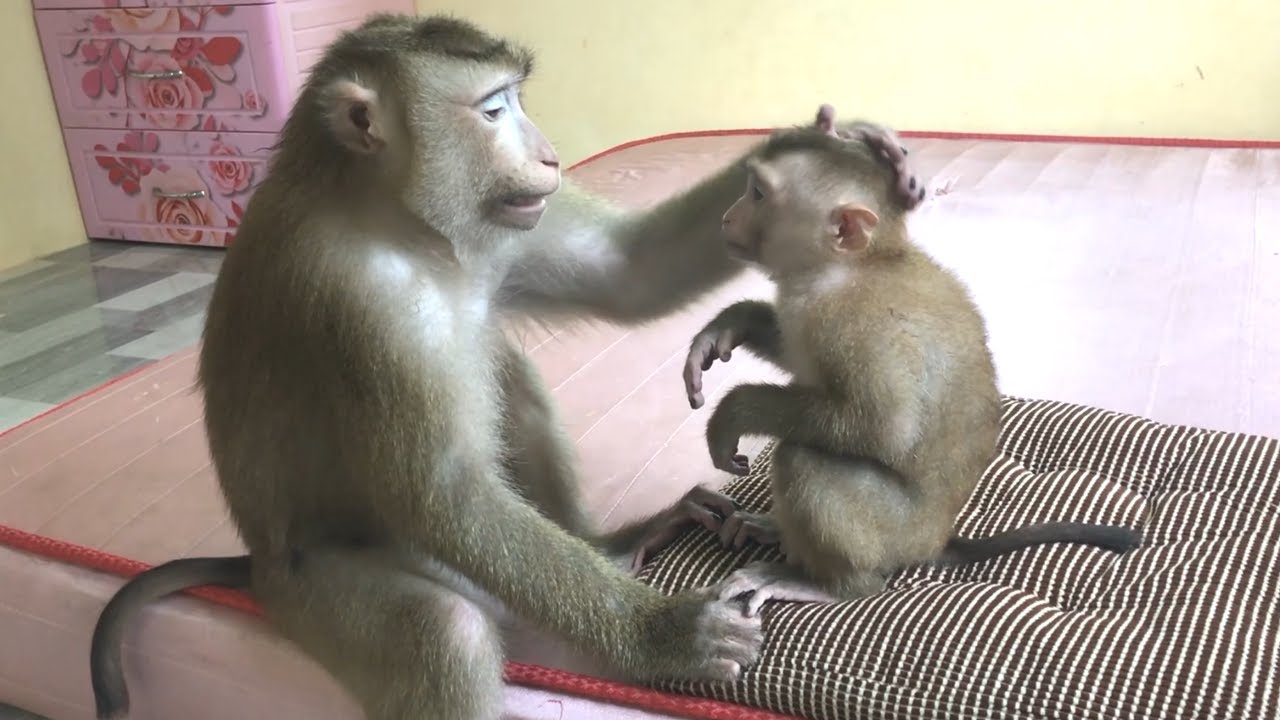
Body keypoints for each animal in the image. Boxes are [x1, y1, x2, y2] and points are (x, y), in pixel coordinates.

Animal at [86, 17, 936, 720]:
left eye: (514, 103)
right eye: (493, 112)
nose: (550, 154)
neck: (398, 226)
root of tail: (255, 567)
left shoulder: (505, 222)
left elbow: (627, 271)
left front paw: (840, 142)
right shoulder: (354, 298)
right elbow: (445, 497)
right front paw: (662, 636)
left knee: (506, 374)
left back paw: (612, 545)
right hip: (312, 588)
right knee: (442, 632)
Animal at [656, 104, 1142, 618]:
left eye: (758, 193)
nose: (727, 217)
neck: (858, 265)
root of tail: (935, 541)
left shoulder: (854, 325)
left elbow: (883, 425)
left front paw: (735, 411)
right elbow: (794, 351)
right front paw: (730, 324)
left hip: (891, 533)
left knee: (802, 457)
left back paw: (835, 585)